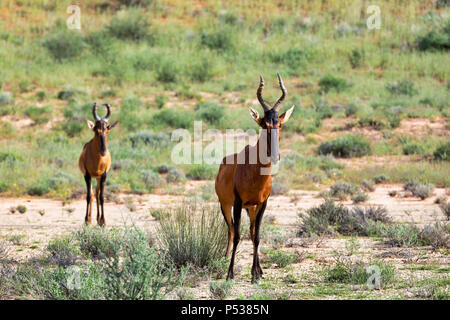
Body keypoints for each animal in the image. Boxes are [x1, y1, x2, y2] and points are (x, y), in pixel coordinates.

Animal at [215, 73, 296, 282]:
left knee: (251, 233)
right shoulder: (236, 202)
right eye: (264, 124)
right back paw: (224, 260)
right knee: (231, 230)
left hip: (250, 208)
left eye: (279, 124)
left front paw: (256, 274)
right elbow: (237, 236)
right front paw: (230, 274)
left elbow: (257, 236)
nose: (275, 156)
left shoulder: (262, 203)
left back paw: (258, 270)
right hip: (225, 205)